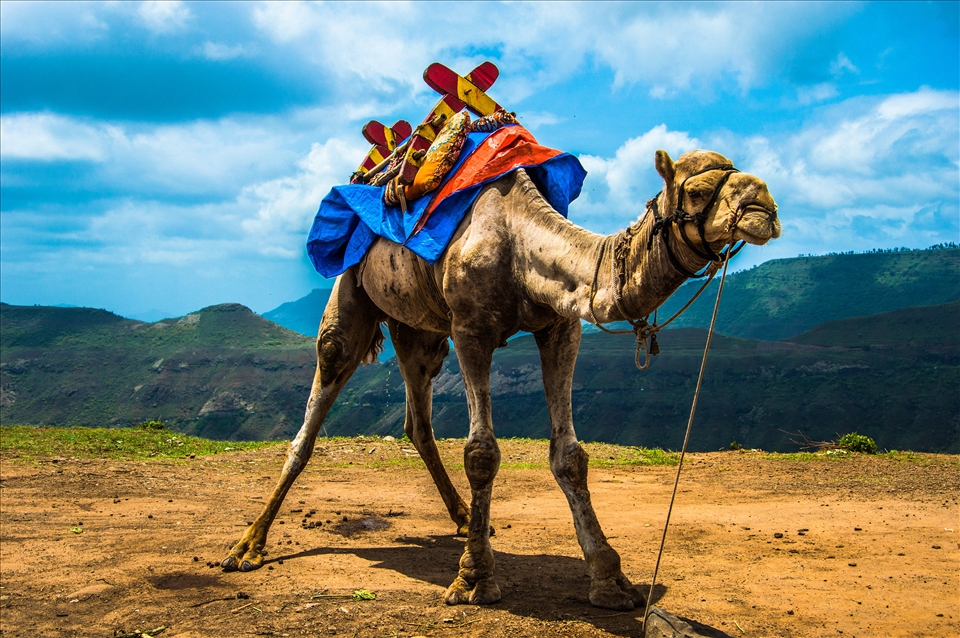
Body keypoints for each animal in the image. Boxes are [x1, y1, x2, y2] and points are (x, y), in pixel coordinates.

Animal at [222, 148, 780, 611]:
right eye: (698, 190)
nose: (766, 207)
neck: (518, 240)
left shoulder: (560, 327)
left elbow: (570, 456)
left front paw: (610, 580)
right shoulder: (471, 330)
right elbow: (481, 453)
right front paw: (474, 579)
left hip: (420, 329)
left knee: (418, 419)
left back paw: (466, 517)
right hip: (352, 288)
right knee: (316, 405)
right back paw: (248, 545)